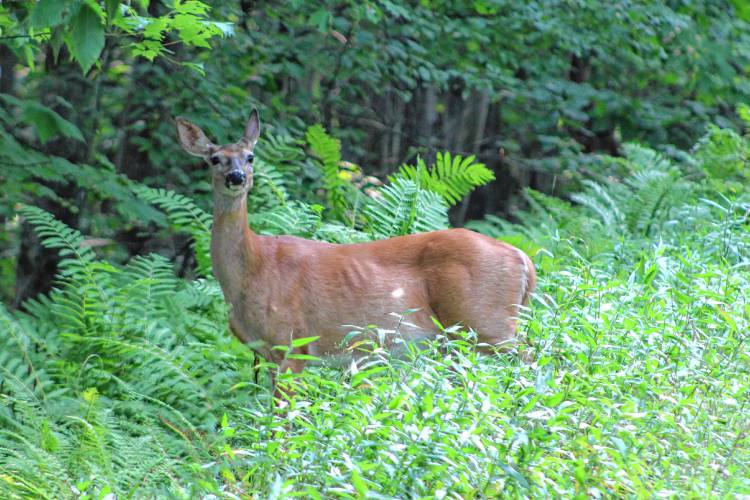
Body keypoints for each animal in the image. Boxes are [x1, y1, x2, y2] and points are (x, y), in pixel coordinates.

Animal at [178, 110, 536, 398]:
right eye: (214, 159)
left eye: (250, 156)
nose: (236, 177)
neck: (252, 270)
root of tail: (522, 258)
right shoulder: (266, 353)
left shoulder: (293, 342)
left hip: (485, 320)